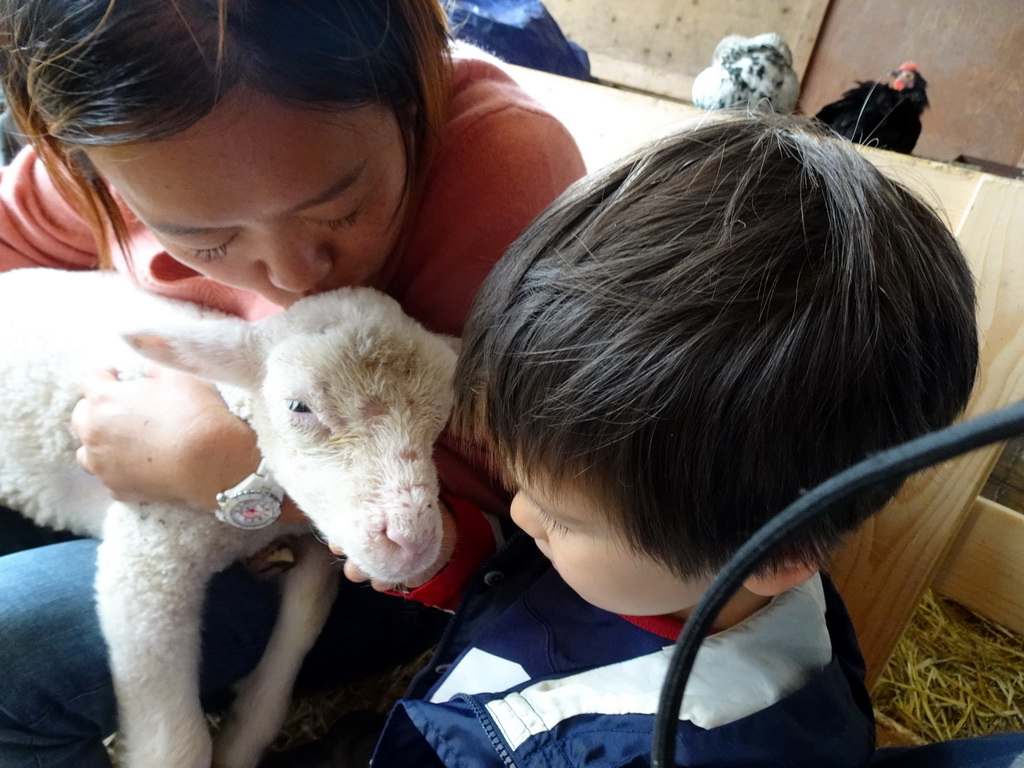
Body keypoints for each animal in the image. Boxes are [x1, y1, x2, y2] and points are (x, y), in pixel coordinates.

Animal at [0, 268, 456, 765]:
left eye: (442, 419)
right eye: (297, 406)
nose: (412, 540)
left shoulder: (312, 544)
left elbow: (301, 628)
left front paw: (240, 737)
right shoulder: (144, 559)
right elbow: (176, 748)